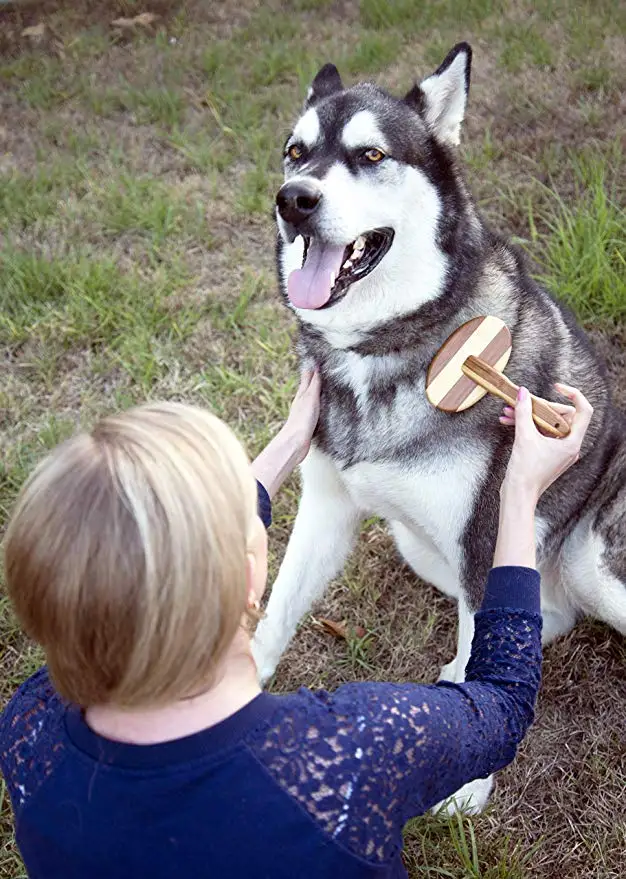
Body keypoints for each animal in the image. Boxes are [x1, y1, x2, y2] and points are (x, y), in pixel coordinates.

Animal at [250, 44, 624, 820]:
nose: (293, 199)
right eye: (296, 152)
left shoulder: (487, 533)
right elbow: (277, 609)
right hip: (421, 545)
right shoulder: (327, 503)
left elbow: (491, 645)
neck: (389, 344)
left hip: (591, 563)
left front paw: (472, 782)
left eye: (369, 154)